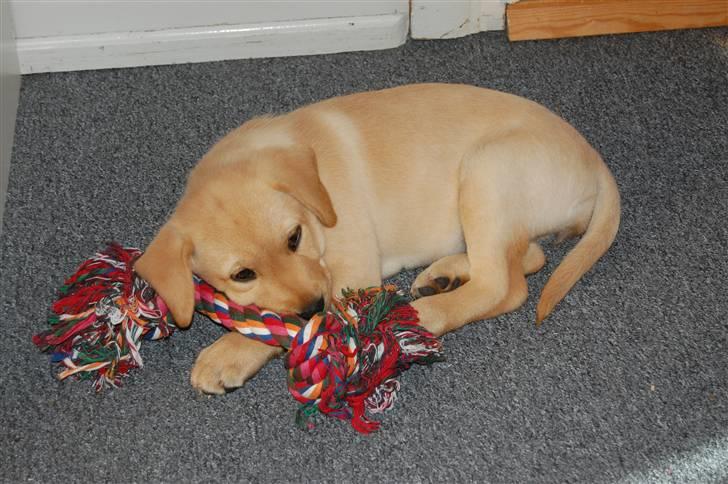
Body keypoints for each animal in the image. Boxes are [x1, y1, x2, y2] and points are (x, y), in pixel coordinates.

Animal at [135, 83, 620, 394]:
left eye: (294, 238)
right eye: (242, 274)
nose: (313, 305)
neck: (317, 208)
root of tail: (595, 161)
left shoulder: (351, 269)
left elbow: (293, 328)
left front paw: (229, 353)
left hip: (488, 168)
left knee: (503, 285)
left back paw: (422, 315)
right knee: (527, 257)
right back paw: (444, 275)